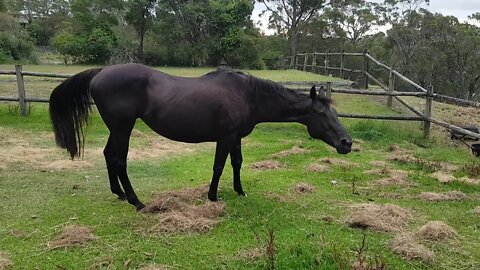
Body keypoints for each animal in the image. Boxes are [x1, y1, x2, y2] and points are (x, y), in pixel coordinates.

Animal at [50, 63, 352, 211]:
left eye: (336, 112)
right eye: (322, 114)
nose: (346, 143)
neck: (247, 95)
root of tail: (101, 72)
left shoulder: (236, 137)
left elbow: (237, 163)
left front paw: (240, 191)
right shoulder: (225, 137)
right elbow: (218, 166)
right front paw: (212, 197)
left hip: (117, 129)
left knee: (108, 156)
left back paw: (120, 194)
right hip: (124, 128)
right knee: (119, 160)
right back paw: (137, 202)